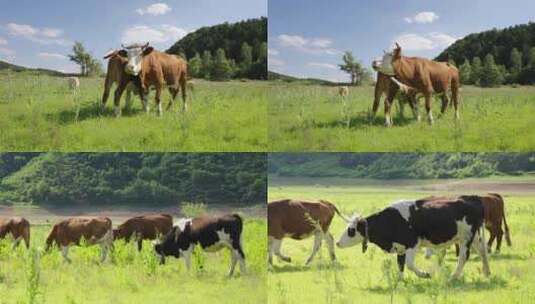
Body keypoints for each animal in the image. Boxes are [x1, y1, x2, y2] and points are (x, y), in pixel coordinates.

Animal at [338, 196, 492, 280]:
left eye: (351, 230)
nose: (338, 242)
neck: (392, 220)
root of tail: (473, 198)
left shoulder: (412, 244)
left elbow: (410, 265)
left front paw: (425, 274)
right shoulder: (400, 247)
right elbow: (400, 265)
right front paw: (399, 281)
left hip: (466, 238)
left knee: (463, 257)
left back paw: (452, 277)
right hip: (474, 237)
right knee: (482, 251)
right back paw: (487, 273)